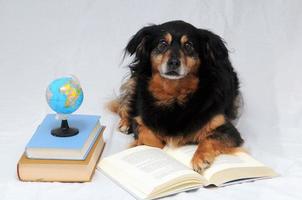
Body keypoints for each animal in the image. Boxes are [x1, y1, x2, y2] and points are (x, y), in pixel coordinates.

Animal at [108, 21, 243, 173]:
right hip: (134, 82)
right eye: (162, 44)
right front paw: (151, 147)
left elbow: (209, 138)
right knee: (125, 104)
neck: (174, 95)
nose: (173, 62)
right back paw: (125, 123)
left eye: (188, 46)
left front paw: (200, 158)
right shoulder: (141, 120)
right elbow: (148, 137)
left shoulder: (228, 129)